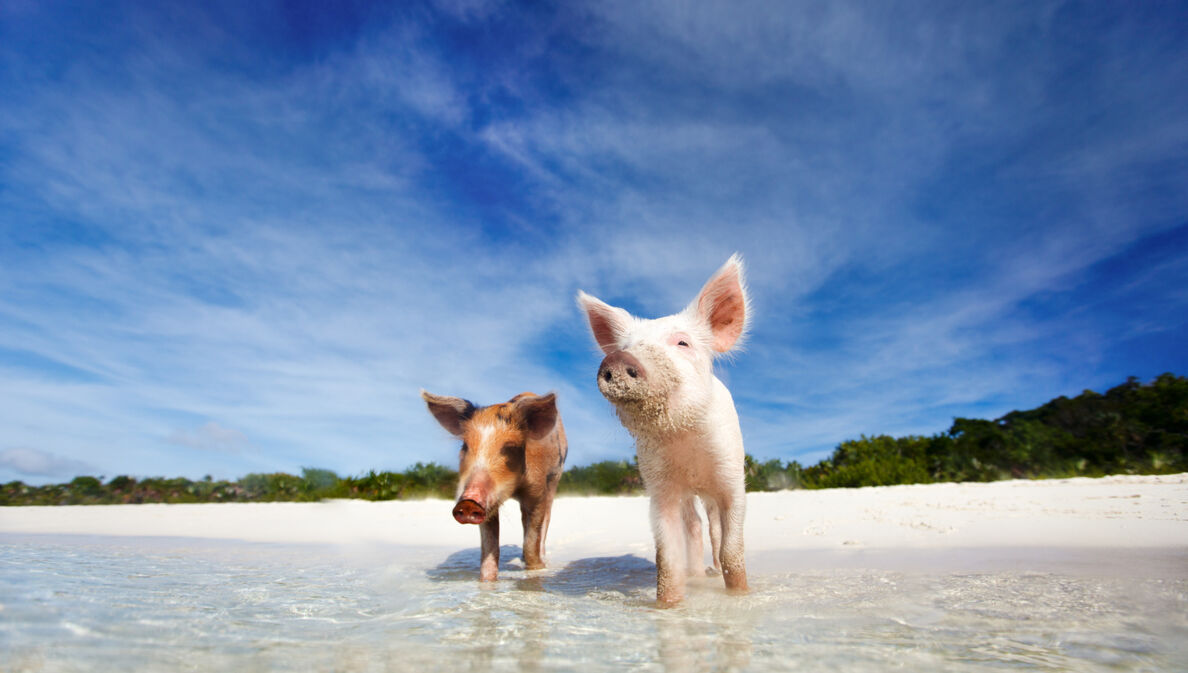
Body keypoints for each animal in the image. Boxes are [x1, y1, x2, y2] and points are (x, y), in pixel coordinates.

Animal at [577, 254, 750, 606]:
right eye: (626, 345)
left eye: (682, 342)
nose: (617, 359)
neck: (684, 438)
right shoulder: (659, 485)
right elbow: (667, 558)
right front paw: (668, 606)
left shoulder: (731, 475)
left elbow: (731, 550)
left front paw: (741, 595)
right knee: (694, 527)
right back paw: (698, 575)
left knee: (712, 528)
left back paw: (712, 572)